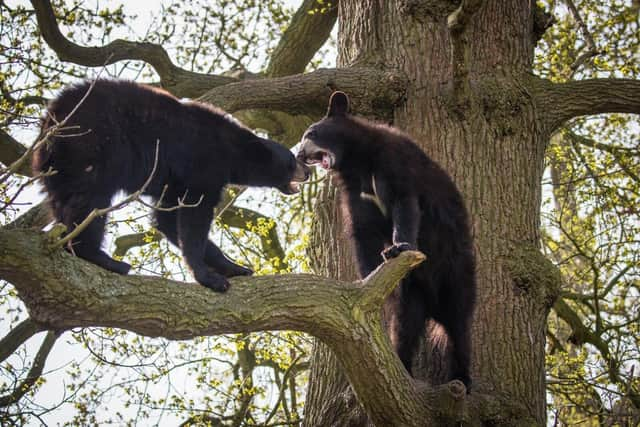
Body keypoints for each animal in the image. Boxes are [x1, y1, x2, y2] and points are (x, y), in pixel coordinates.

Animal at [34, 79, 310, 294]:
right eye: (291, 160)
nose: (307, 170)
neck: (232, 151)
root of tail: (52, 116)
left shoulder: (174, 184)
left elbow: (167, 219)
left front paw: (235, 267)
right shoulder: (202, 165)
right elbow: (194, 219)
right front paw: (209, 277)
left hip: (60, 165)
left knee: (64, 200)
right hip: (90, 144)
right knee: (90, 202)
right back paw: (104, 259)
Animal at [296, 92, 476, 390]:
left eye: (311, 132)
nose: (299, 155)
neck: (357, 162)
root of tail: (432, 305)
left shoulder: (395, 161)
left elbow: (405, 204)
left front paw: (398, 247)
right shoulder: (355, 193)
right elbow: (362, 231)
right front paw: (367, 275)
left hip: (457, 271)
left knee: (459, 324)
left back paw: (461, 379)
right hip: (410, 293)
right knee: (404, 327)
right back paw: (404, 368)